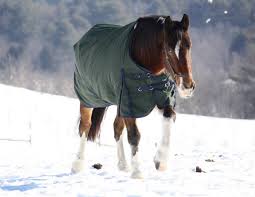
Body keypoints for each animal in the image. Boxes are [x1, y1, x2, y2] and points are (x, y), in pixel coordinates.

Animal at [71, 14, 195, 179]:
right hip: (88, 98)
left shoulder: (162, 97)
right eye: (169, 49)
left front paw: (160, 161)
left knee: (116, 128)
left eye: (189, 46)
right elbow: (134, 135)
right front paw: (137, 172)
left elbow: (169, 118)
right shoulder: (130, 102)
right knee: (85, 126)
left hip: (119, 103)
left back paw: (123, 165)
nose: (187, 86)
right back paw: (77, 165)